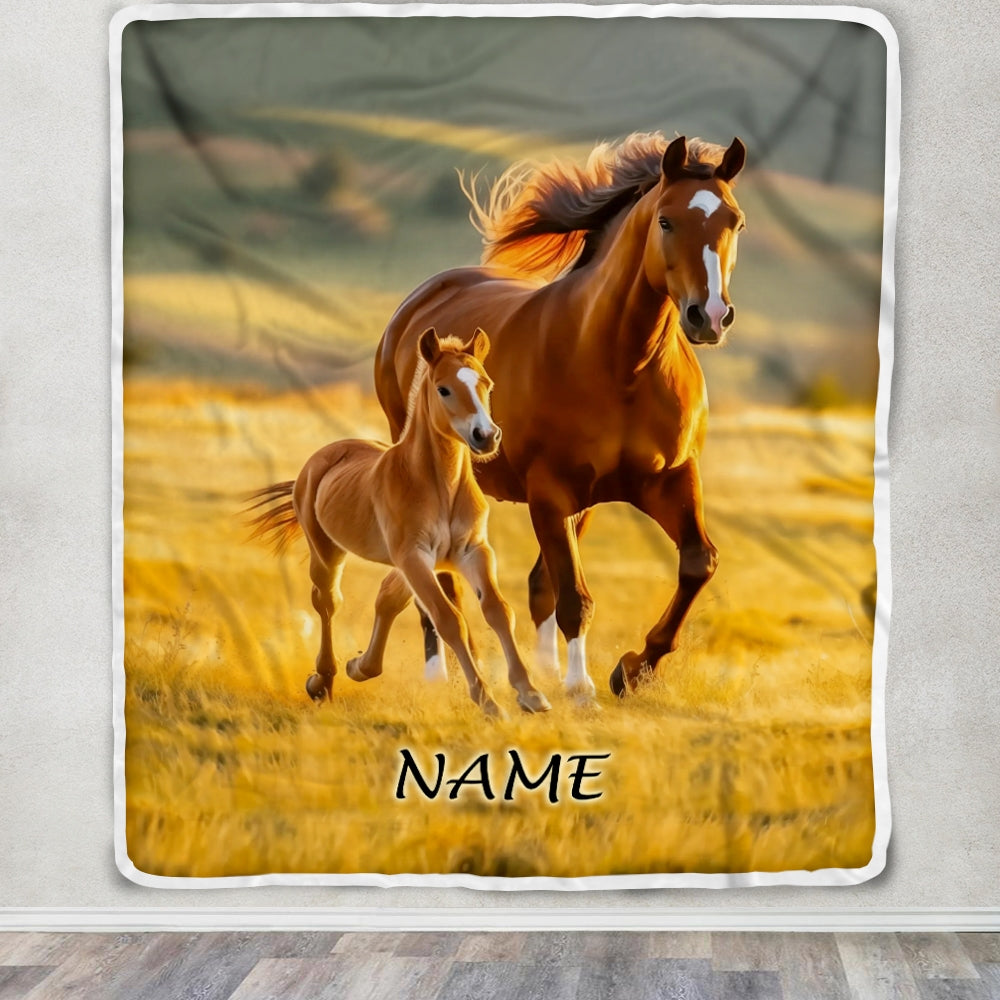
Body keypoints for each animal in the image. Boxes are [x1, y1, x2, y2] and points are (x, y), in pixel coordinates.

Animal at [247, 328, 551, 719]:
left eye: (486, 383)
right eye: (443, 389)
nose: (486, 436)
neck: (440, 487)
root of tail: (322, 457)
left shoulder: (472, 551)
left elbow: (498, 610)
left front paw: (530, 693)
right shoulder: (413, 555)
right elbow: (449, 618)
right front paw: (488, 701)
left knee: (386, 598)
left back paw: (360, 667)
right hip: (327, 551)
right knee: (327, 602)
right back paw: (323, 681)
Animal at [374, 133, 747, 701]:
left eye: (735, 222)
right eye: (666, 220)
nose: (709, 316)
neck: (621, 366)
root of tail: (419, 302)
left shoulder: (668, 480)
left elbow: (696, 564)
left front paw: (631, 670)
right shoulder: (549, 492)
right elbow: (574, 597)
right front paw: (580, 686)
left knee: (531, 582)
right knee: (435, 580)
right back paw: (442, 674)